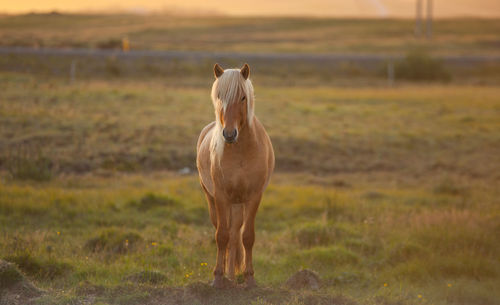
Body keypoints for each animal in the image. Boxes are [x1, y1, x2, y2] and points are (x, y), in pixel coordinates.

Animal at [196, 62, 276, 288]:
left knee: (234, 235)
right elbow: (221, 236)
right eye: (219, 96)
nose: (229, 134)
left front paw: (249, 279)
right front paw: (217, 278)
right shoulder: (222, 197)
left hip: (238, 204)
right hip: (213, 199)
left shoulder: (254, 197)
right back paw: (227, 276)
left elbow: (247, 237)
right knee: (224, 232)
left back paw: (232, 277)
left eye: (242, 97)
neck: (241, 151)